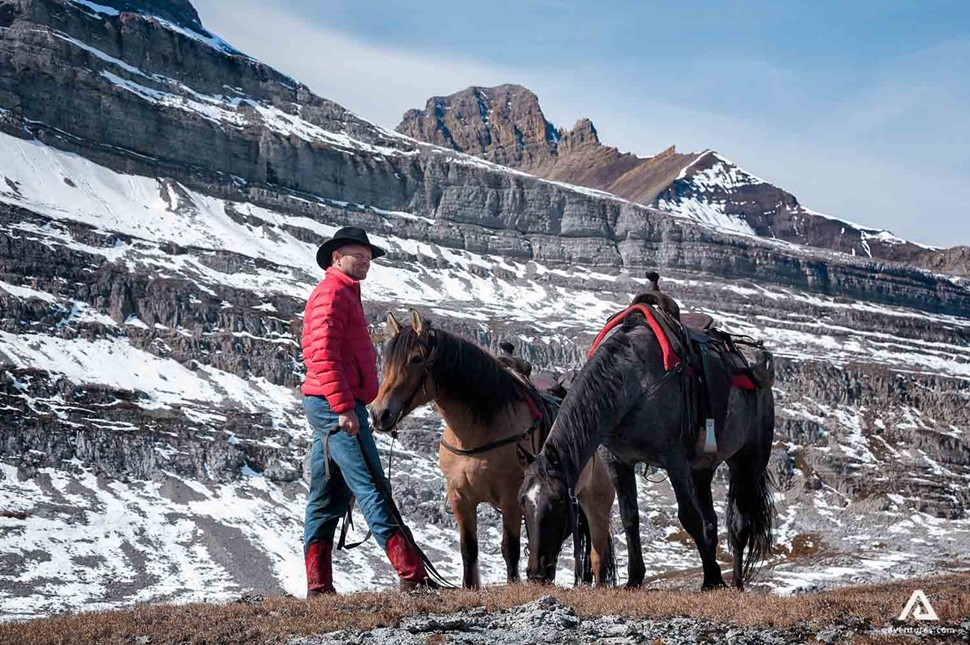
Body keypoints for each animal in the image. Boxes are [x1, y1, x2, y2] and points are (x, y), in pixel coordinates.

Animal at [370, 310, 612, 588]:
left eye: (416, 358)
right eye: (386, 360)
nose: (378, 414)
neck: (476, 434)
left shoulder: (510, 499)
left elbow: (510, 549)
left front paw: (513, 583)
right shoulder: (460, 499)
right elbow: (468, 550)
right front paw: (470, 586)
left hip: (594, 507)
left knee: (596, 555)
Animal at [520, 310, 776, 592]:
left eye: (558, 503)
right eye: (522, 502)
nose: (536, 573)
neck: (634, 383)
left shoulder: (675, 460)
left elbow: (688, 517)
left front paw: (713, 577)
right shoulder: (617, 461)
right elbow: (629, 517)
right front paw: (634, 579)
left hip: (748, 458)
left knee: (740, 523)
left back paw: (737, 583)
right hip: (702, 470)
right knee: (710, 521)